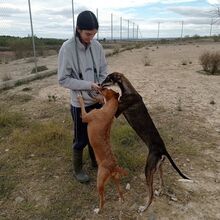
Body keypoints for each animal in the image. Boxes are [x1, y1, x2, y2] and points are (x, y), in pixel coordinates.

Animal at [101, 72, 189, 211]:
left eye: (109, 78)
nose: (100, 84)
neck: (128, 90)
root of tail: (163, 150)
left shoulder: (116, 111)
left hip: (148, 169)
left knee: (151, 194)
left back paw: (144, 207)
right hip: (158, 167)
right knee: (162, 183)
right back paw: (160, 191)